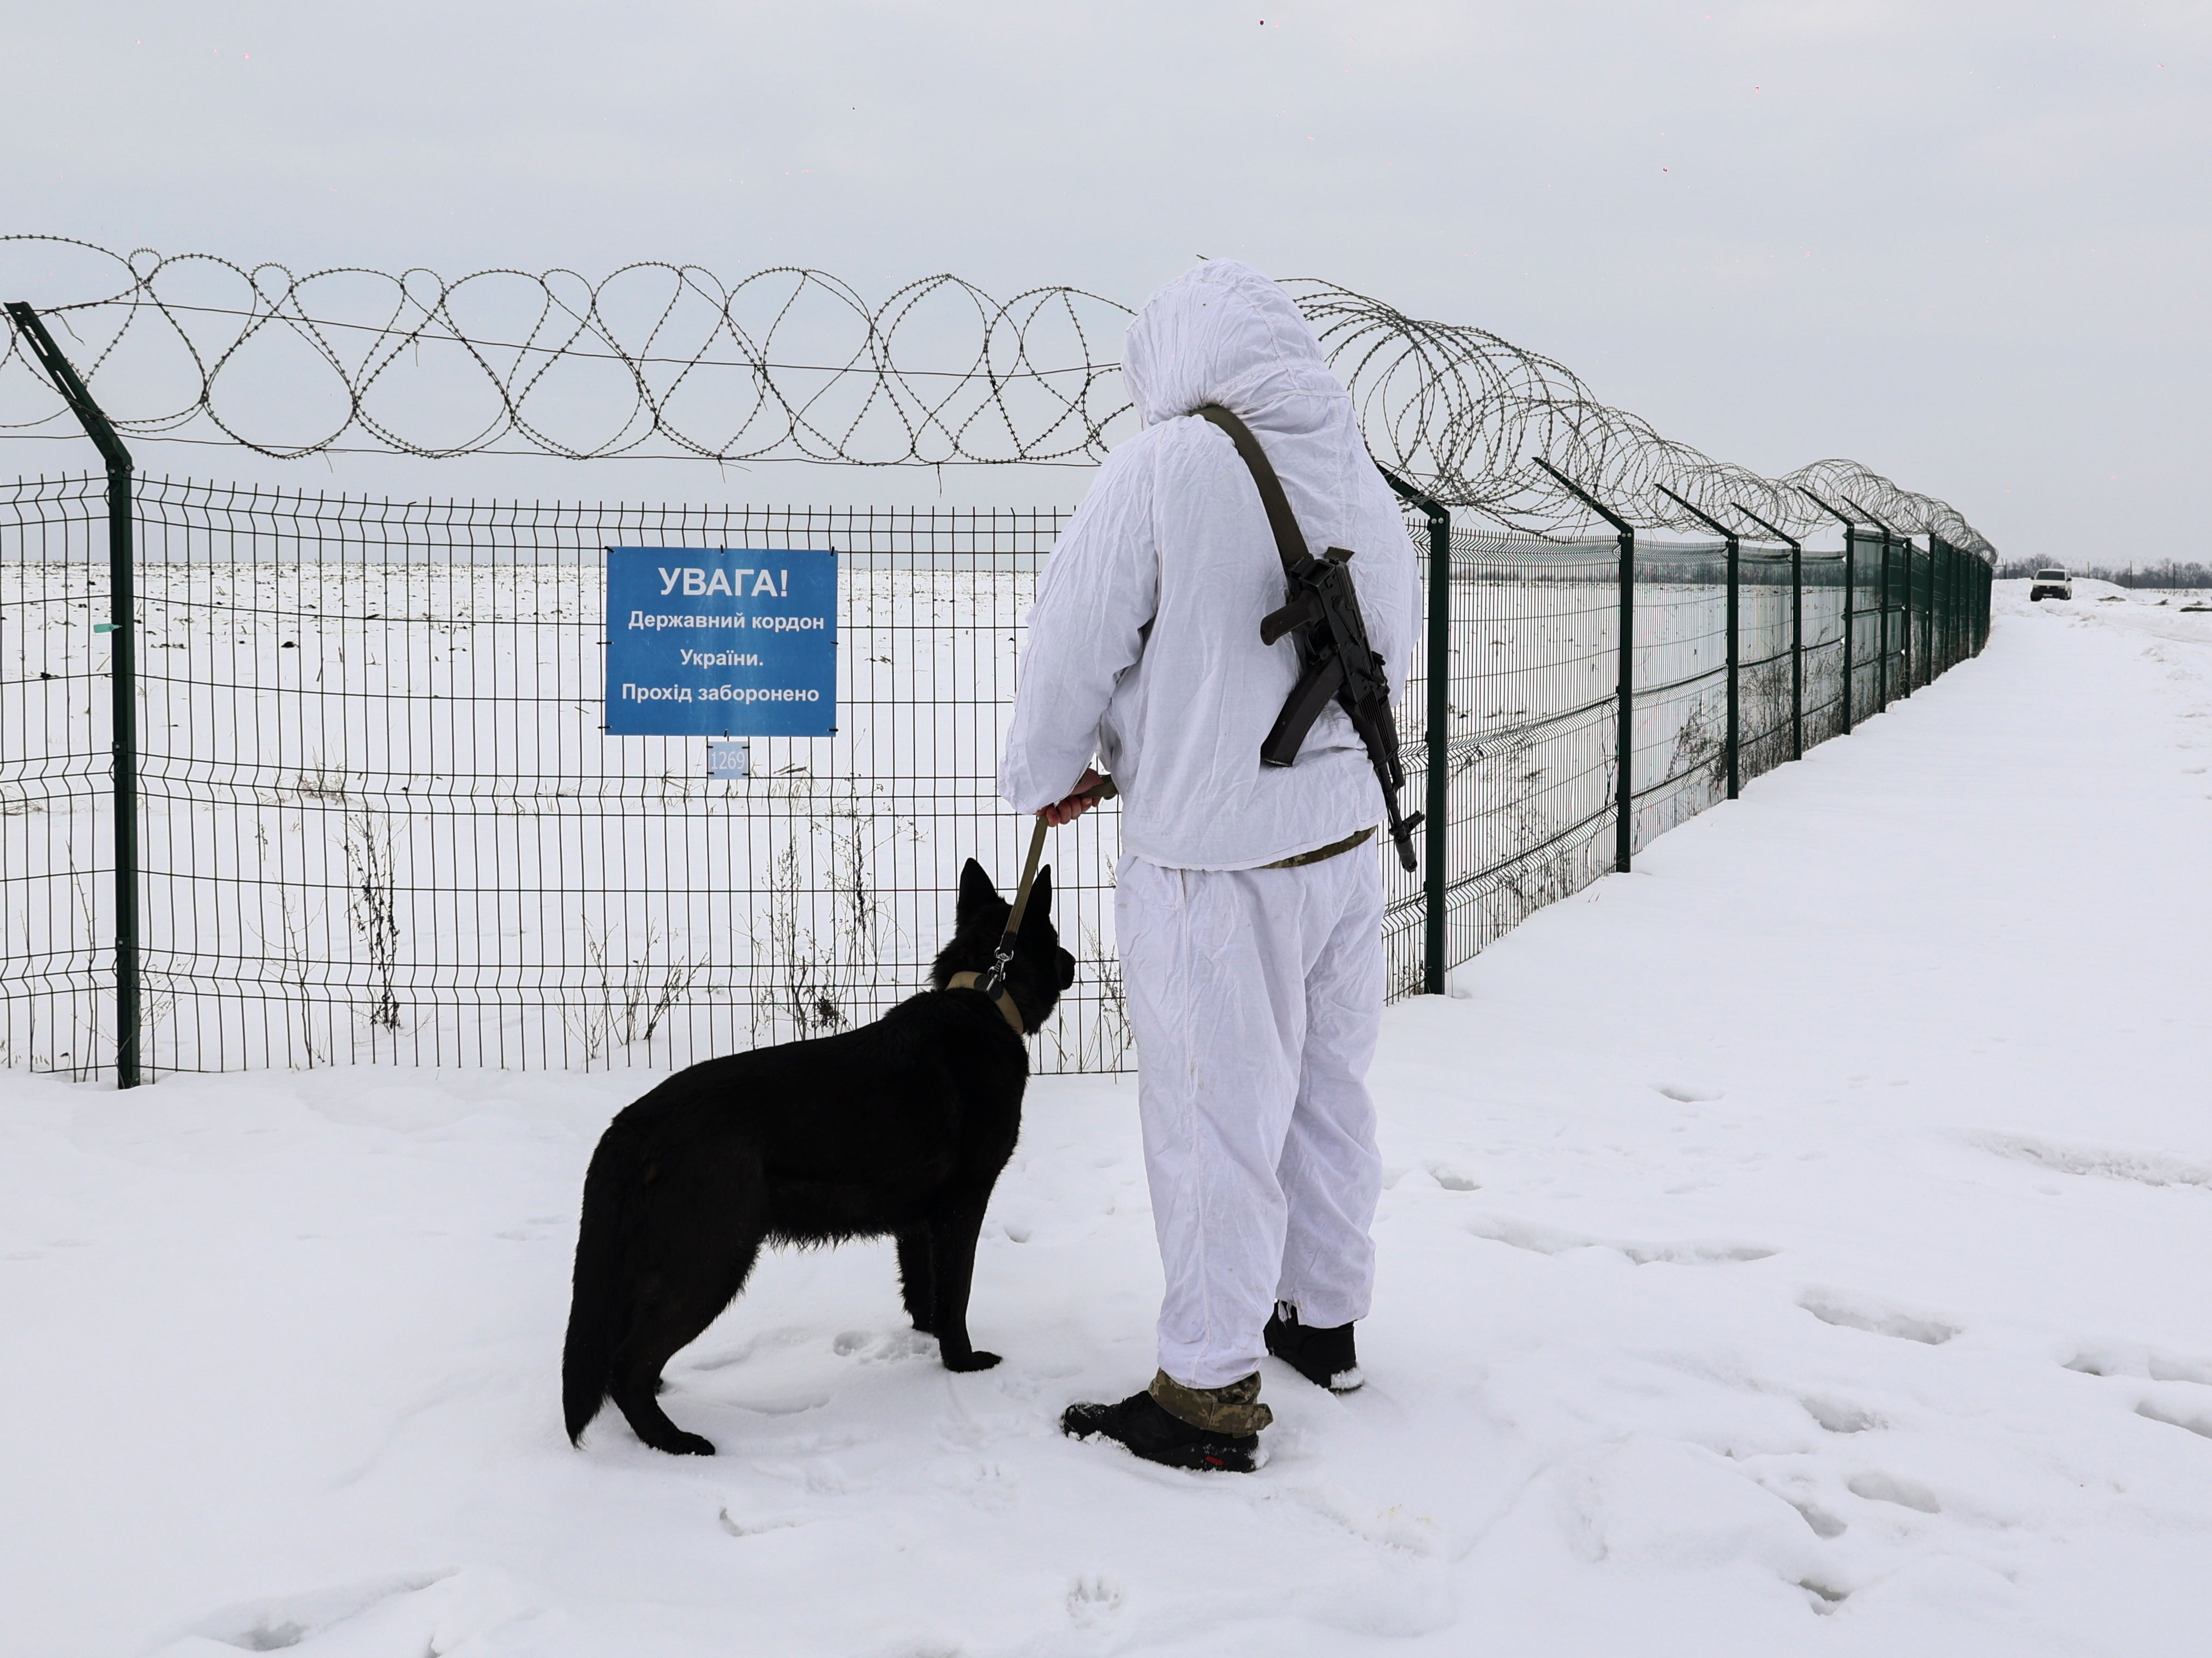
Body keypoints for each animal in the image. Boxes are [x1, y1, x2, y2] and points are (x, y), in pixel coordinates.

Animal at [566, 862, 1075, 1459]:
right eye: (1055, 938)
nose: (1073, 964)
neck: (985, 999)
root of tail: (631, 1124)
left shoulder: (917, 1221)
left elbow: (923, 1290)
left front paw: (926, 1341)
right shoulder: (962, 1204)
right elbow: (956, 1294)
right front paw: (962, 1362)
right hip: (712, 1261)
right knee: (628, 1366)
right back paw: (673, 1441)